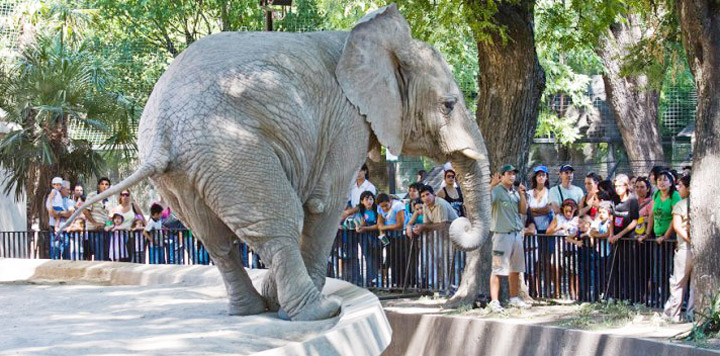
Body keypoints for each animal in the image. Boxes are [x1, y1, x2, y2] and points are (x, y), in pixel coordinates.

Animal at [64, 2, 492, 322]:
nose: (458, 223)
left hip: (188, 173)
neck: (376, 42)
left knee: (216, 241)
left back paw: (253, 309)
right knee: (278, 223)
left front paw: (274, 297)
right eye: (449, 105)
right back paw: (317, 311)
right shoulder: (346, 121)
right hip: (233, 150)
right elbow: (324, 204)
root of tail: (162, 138)